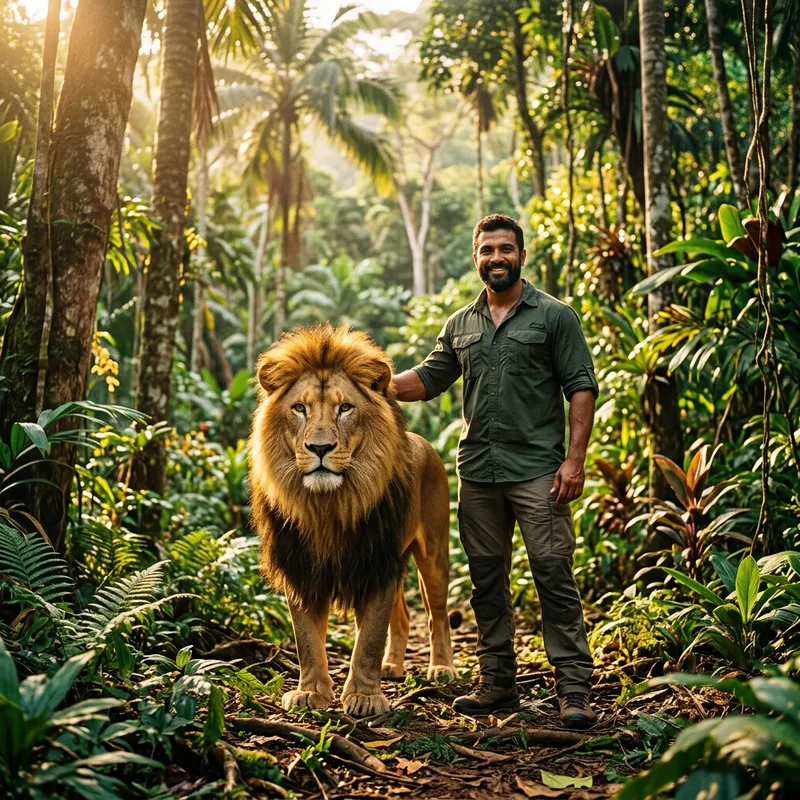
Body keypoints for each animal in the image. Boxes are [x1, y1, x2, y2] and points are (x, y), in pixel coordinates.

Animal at [249, 324, 455, 718]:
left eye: (345, 408)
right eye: (299, 408)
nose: (320, 448)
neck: (328, 506)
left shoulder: (376, 563)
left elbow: (370, 638)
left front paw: (364, 696)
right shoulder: (301, 567)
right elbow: (306, 641)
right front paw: (310, 692)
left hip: (434, 555)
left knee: (437, 614)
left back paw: (442, 668)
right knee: (404, 616)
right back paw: (392, 667)